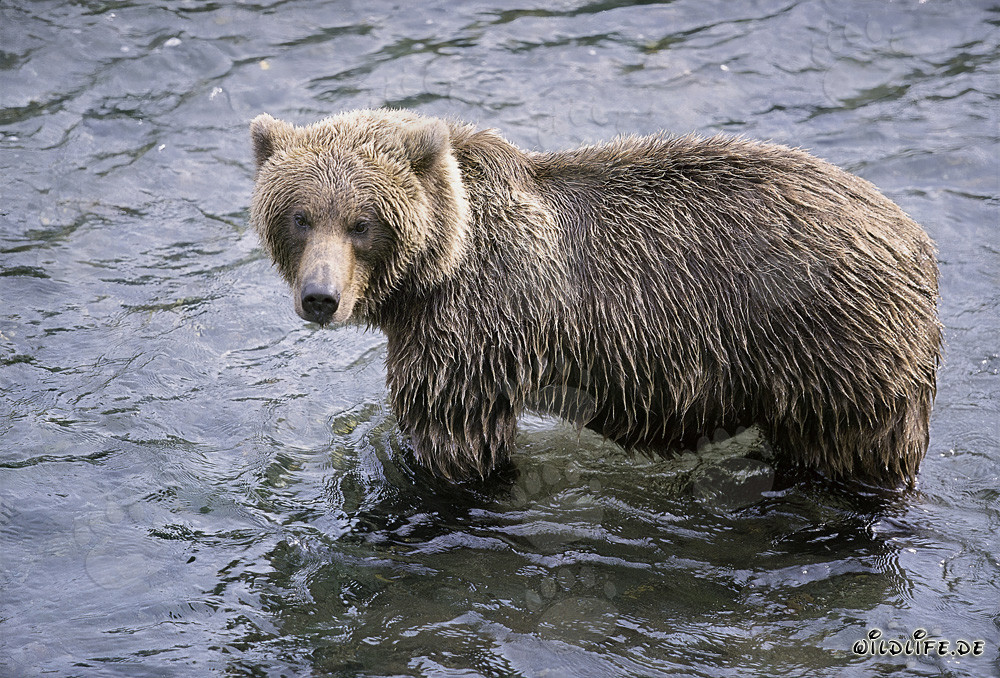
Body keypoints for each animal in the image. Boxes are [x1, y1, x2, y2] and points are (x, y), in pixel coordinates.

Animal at [248, 108, 941, 489]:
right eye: (300, 216)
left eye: (362, 223)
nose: (321, 297)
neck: (441, 266)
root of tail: (916, 238)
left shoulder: (473, 332)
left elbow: (454, 437)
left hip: (836, 353)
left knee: (854, 456)